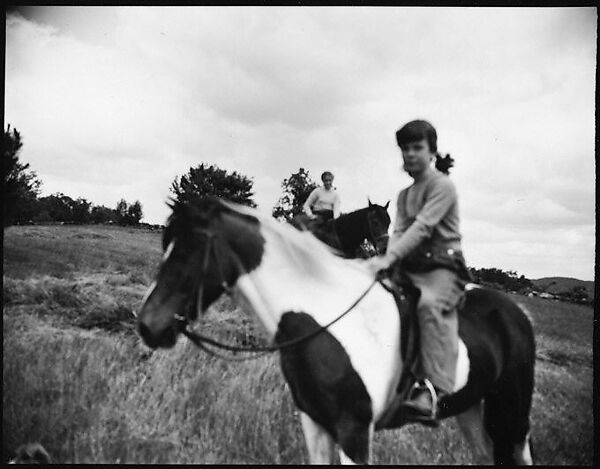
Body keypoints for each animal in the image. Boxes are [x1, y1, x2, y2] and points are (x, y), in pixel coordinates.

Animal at [138, 197, 536, 464]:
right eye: (167, 247)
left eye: (186, 251)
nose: (147, 325)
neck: (322, 316)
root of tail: (517, 312)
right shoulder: (314, 424)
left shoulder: (354, 433)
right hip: (471, 410)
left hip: (513, 418)